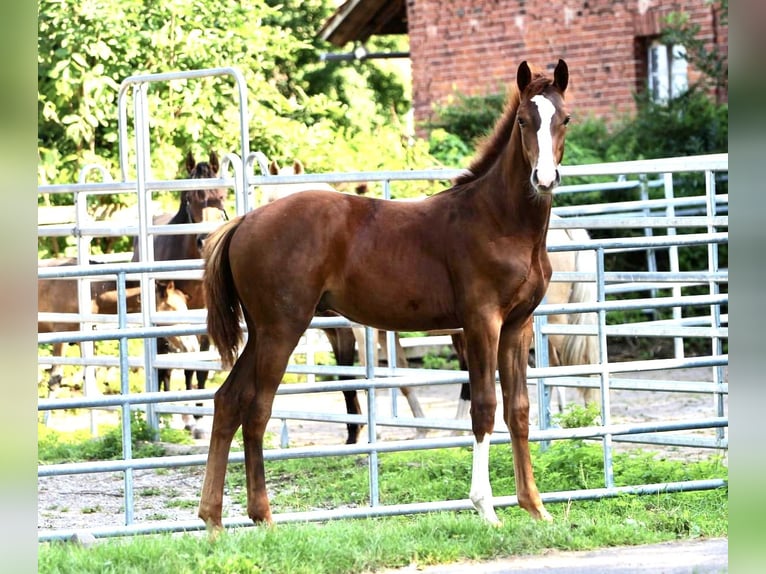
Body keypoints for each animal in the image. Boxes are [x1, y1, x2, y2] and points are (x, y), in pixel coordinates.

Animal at [201, 59, 572, 532]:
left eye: (565, 119)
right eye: (524, 120)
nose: (544, 179)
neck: (498, 221)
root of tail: (244, 222)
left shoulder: (516, 327)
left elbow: (519, 410)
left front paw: (535, 506)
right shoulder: (480, 322)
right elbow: (485, 407)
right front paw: (486, 508)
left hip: (263, 331)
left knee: (228, 401)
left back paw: (213, 520)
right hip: (281, 330)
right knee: (257, 408)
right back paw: (262, 516)